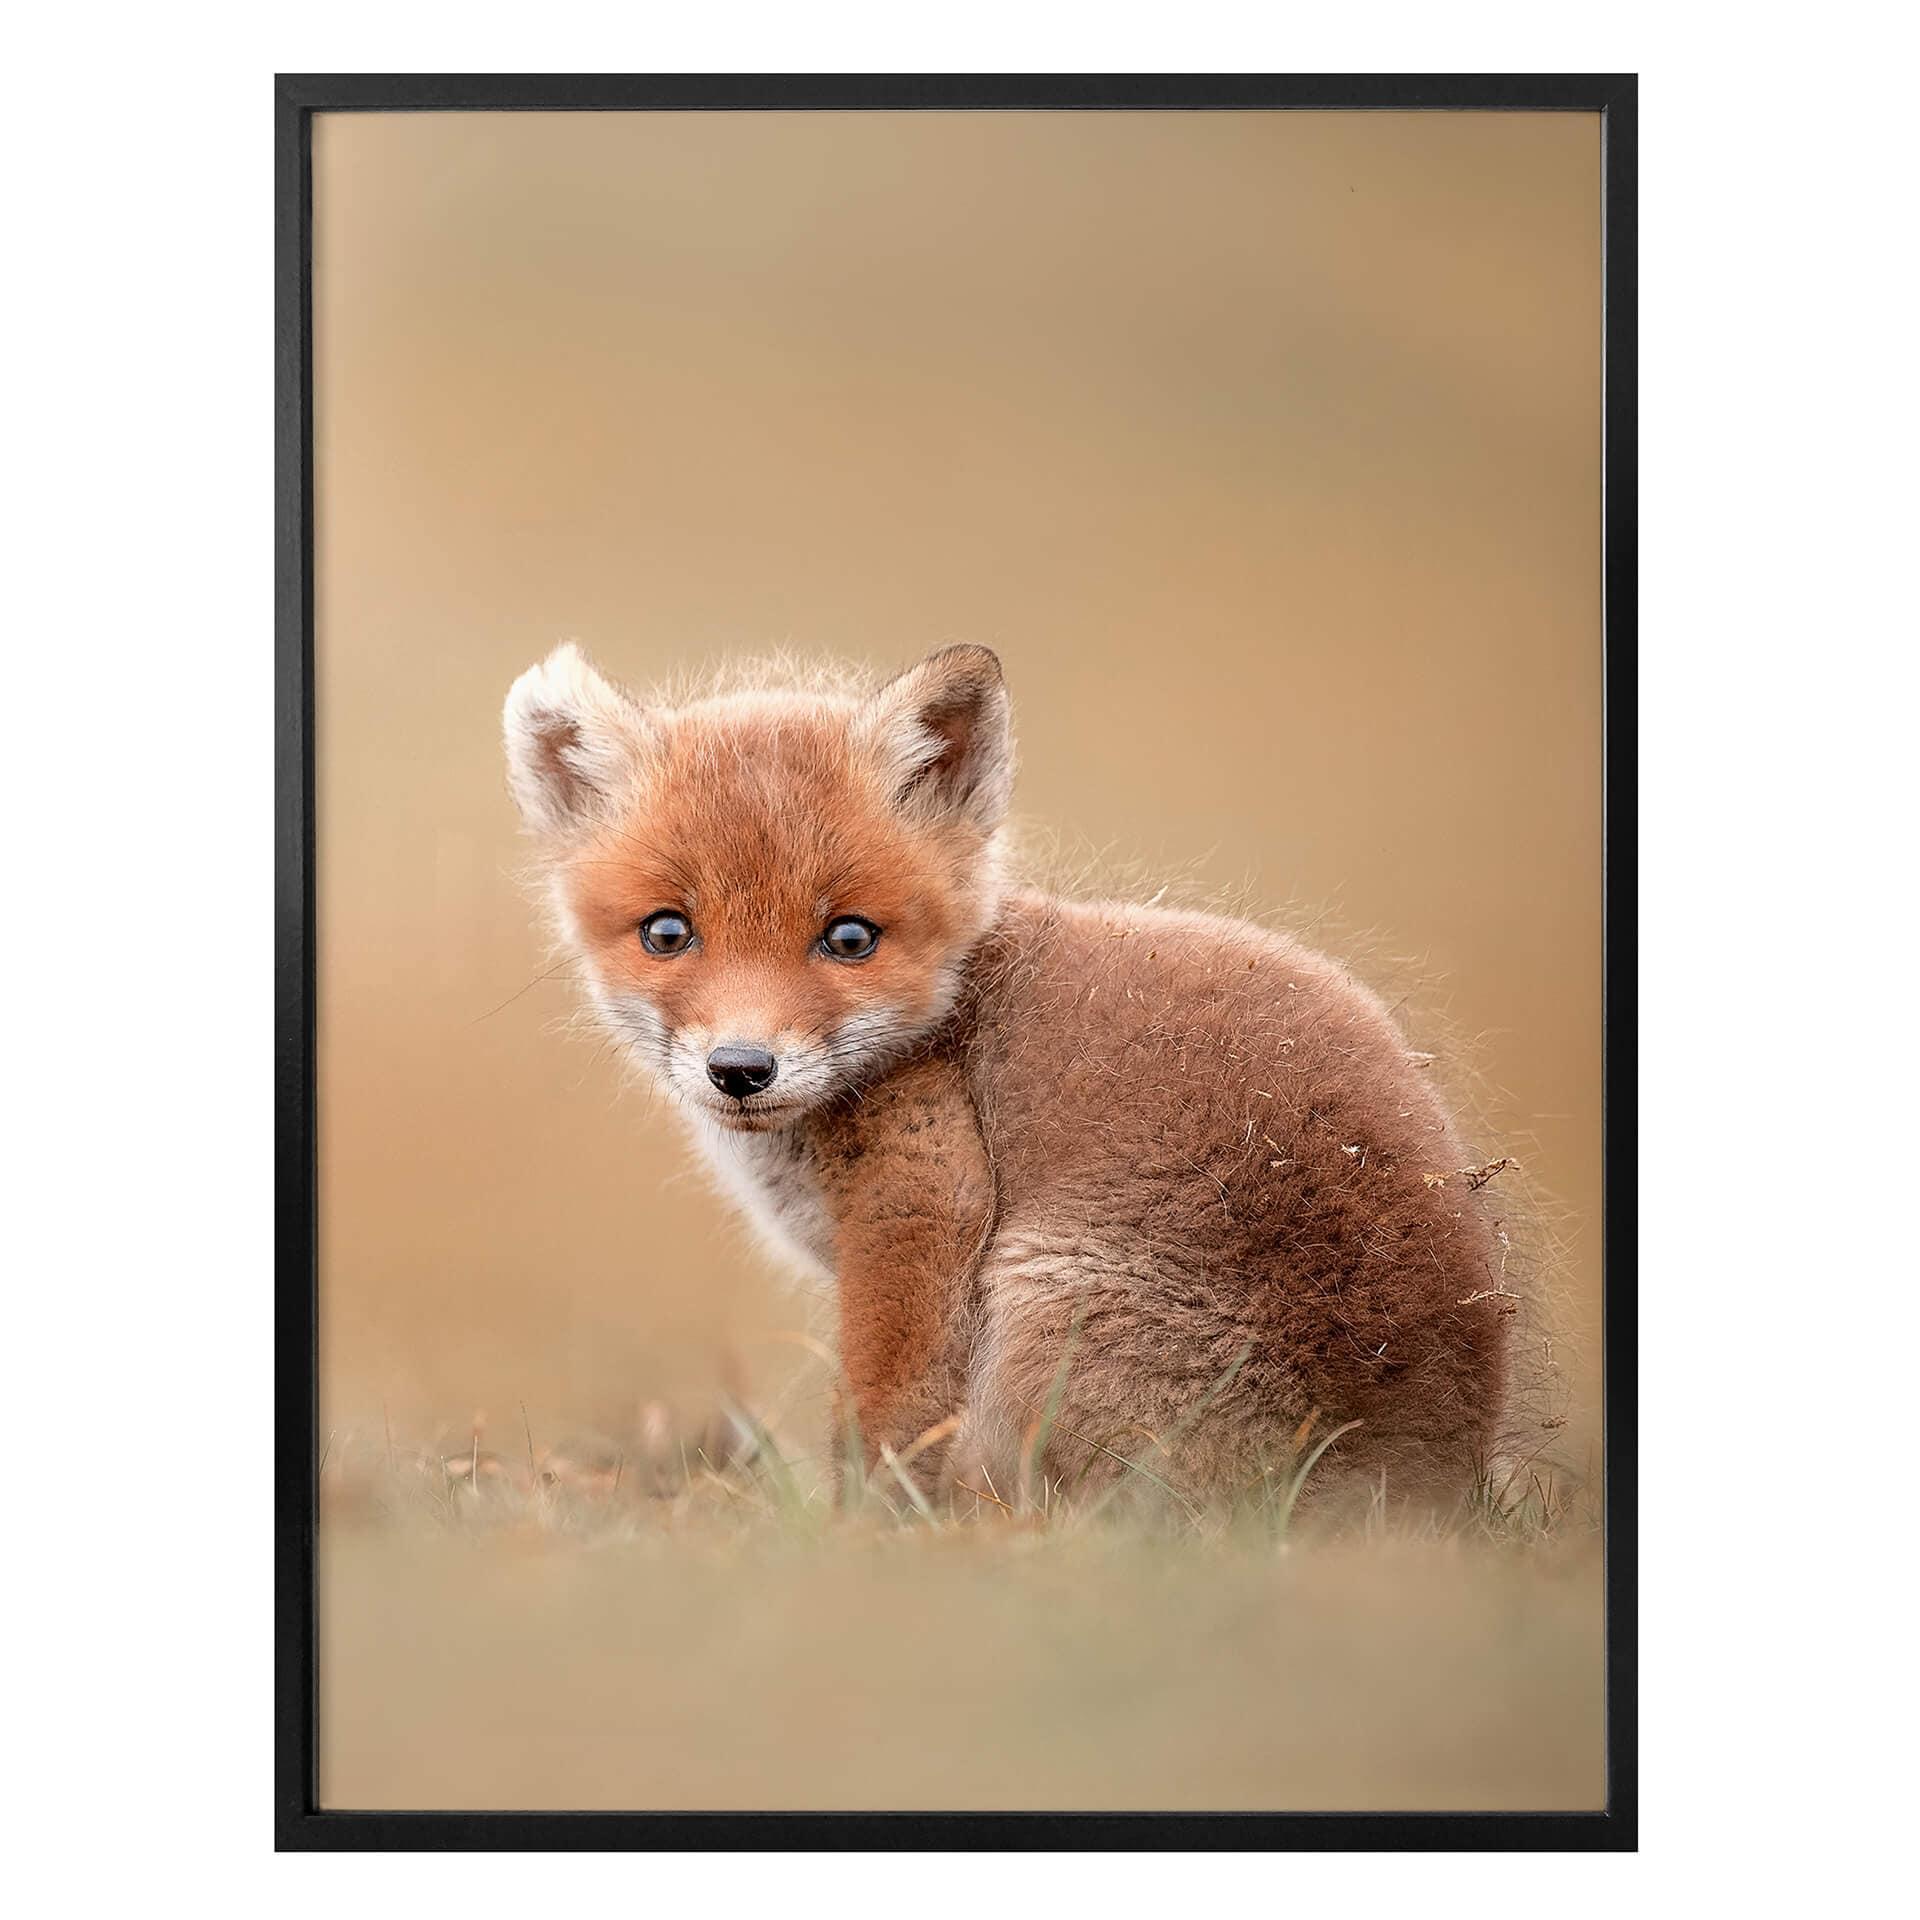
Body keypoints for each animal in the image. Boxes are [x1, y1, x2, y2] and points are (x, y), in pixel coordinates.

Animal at [503, 641, 1514, 1513]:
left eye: (850, 938)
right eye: (668, 933)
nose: (742, 1069)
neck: (945, 1021)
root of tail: (1426, 1485)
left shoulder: (922, 1207)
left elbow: (884, 1429)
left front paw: (858, 1544)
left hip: (1041, 1307)